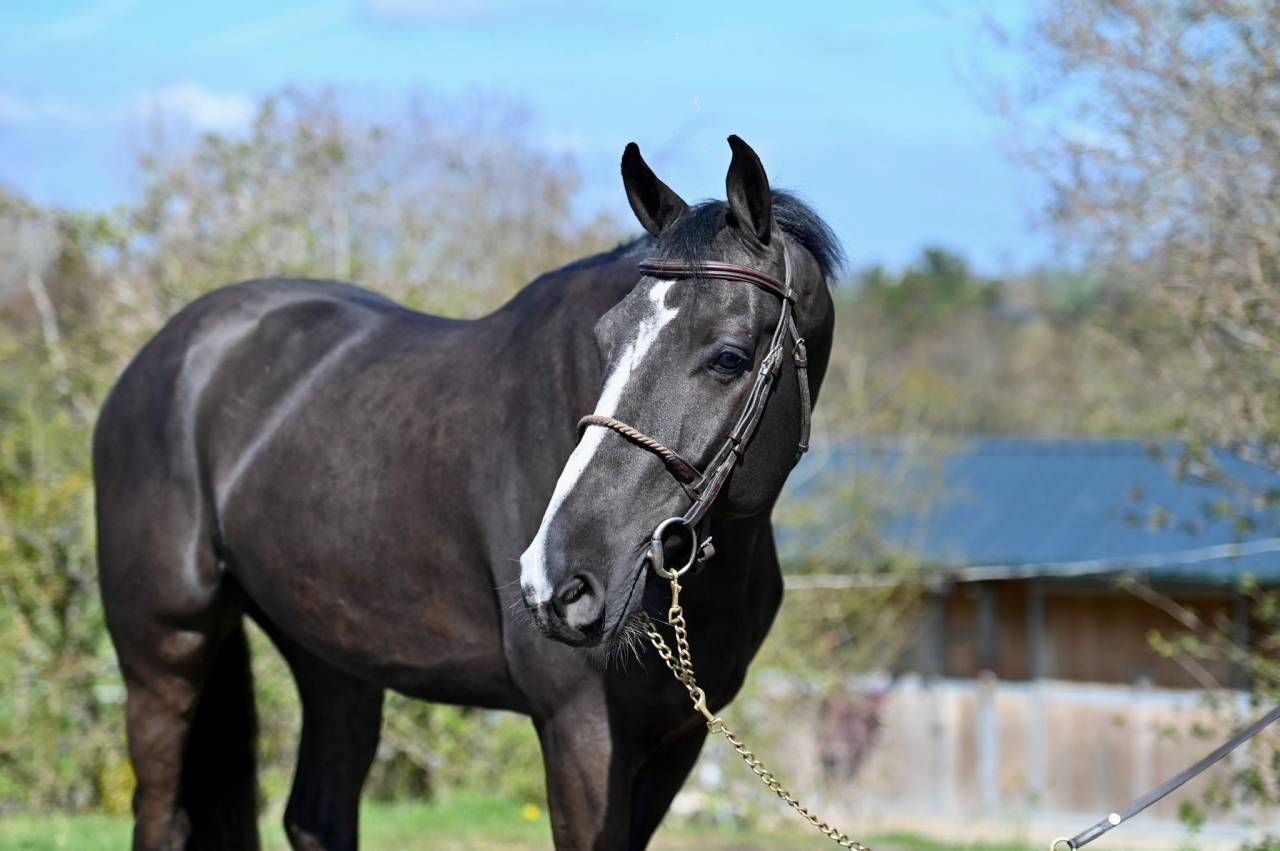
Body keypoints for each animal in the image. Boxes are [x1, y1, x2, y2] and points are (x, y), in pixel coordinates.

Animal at [94, 135, 842, 851]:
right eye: (604, 342)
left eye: (730, 357)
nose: (558, 581)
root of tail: (163, 357)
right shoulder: (579, 728)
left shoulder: (674, 740)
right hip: (165, 654)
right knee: (161, 816)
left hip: (335, 663)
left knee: (316, 814)